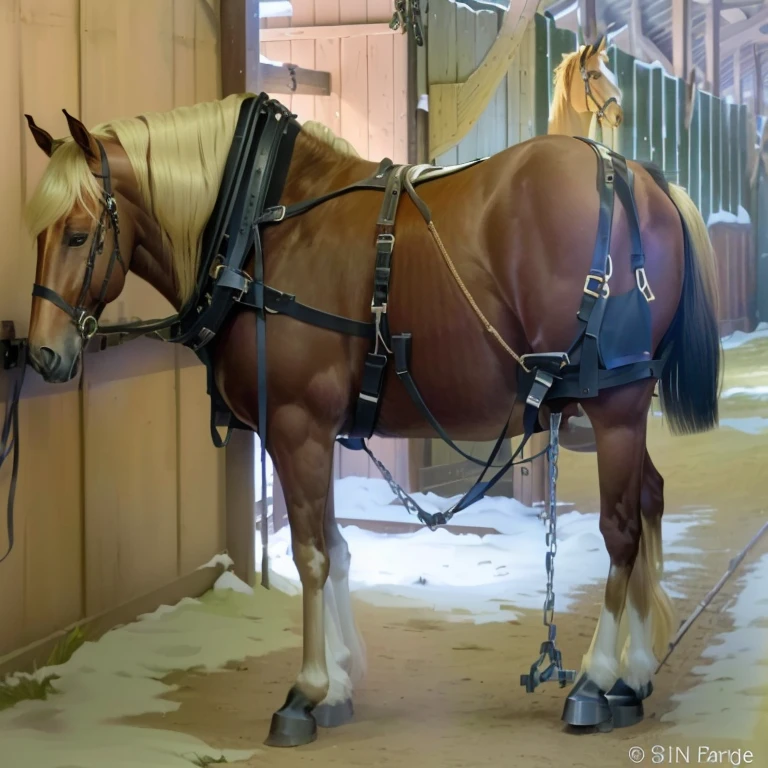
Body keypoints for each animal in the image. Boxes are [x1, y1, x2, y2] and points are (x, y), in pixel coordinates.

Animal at [22, 90, 720, 744]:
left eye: (79, 234)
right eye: (39, 235)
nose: (42, 353)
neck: (257, 224)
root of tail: (632, 175)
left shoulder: (296, 426)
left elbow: (310, 554)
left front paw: (305, 691)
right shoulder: (314, 433)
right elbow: (334, 545)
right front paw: (336, 684)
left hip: (614, 408)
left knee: (622, 529)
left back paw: (598, 679)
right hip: (622, 410)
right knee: (650, 501)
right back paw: (634, 674)